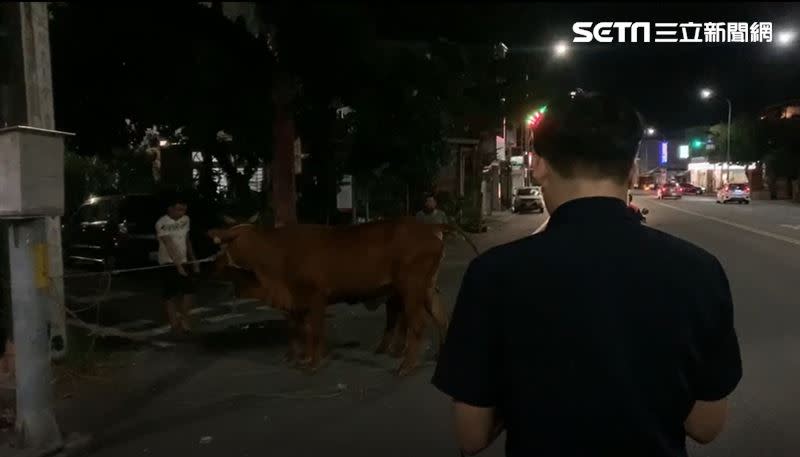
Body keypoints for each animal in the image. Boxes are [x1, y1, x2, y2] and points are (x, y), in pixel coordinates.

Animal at [209, 219, 454, 376]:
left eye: (227, 243)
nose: (214, 263)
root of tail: (431, 227)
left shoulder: (316, 297)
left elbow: (315, 331)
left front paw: (313, 364)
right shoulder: (298, 302)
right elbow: (302, 330)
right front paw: (304, 358)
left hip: (411, 288)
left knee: (417, 324)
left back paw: (406, 366)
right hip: (427, 288)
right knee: (441, 317)